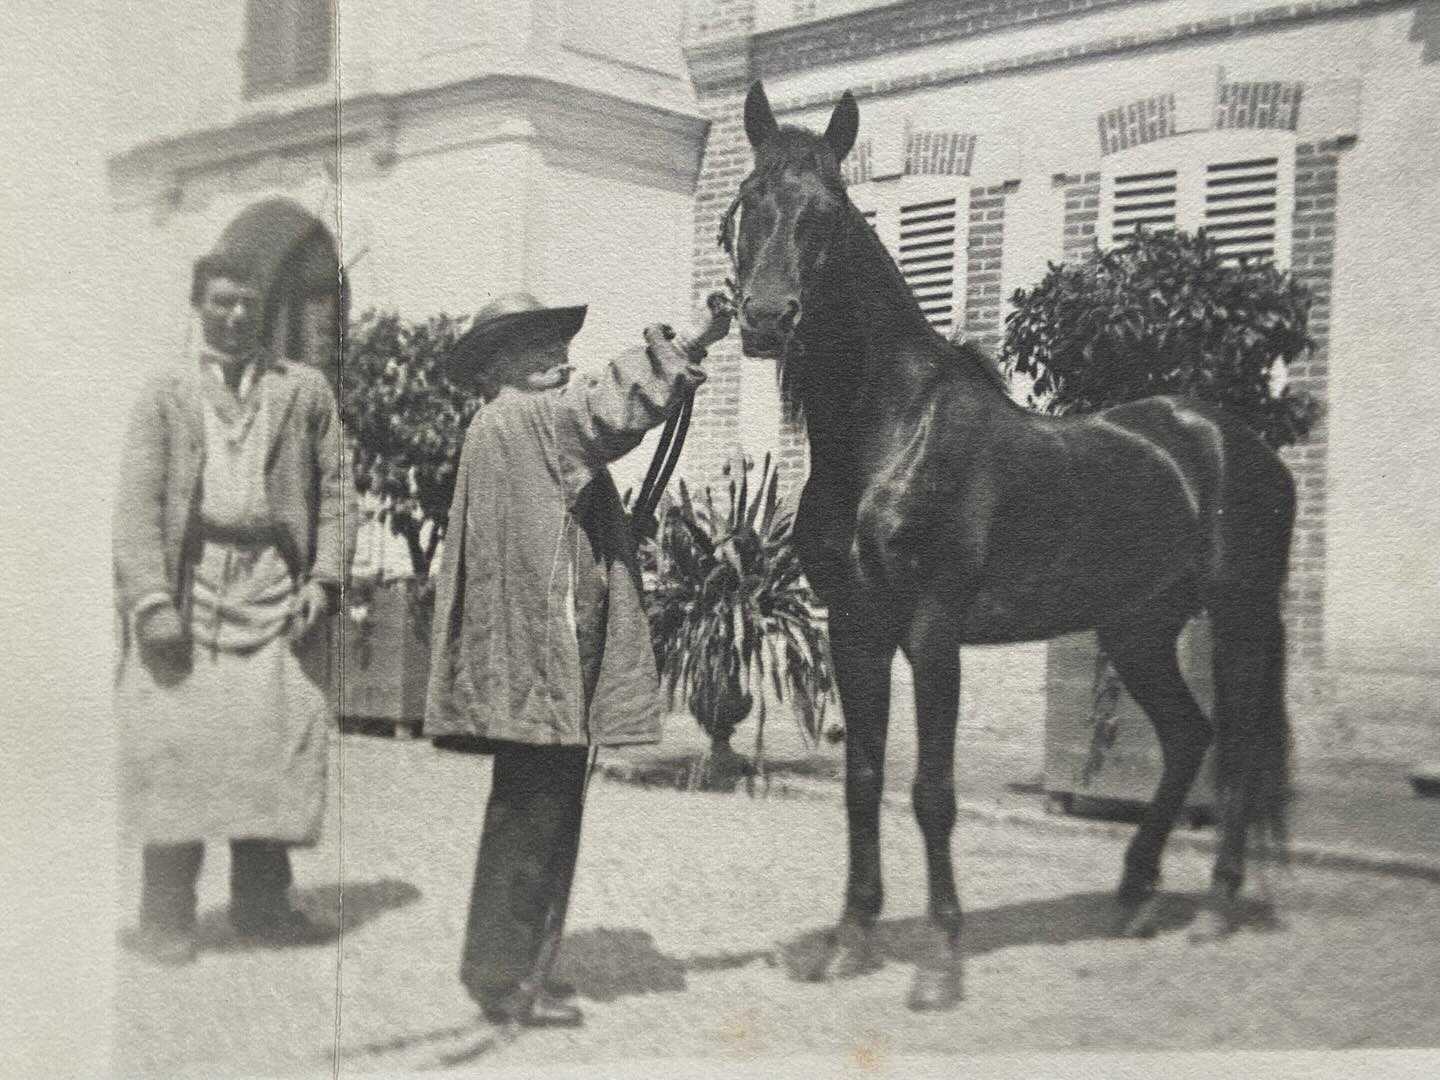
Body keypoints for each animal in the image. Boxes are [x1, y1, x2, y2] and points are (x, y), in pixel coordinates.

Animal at [722, 81, 1296, 1011]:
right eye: (747, 203)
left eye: (830, 210)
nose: (768, 319)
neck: (890, 434)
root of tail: (1230, 440)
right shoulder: (855, 630)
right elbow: (863, 782)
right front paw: (850, 942)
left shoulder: (933, 630)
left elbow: (931, 792)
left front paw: (939, 963)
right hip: (1136, 628)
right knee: (1187, 737)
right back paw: (1134, 896)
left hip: (1238, 615)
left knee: (1235, 745)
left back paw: (1212, 909)